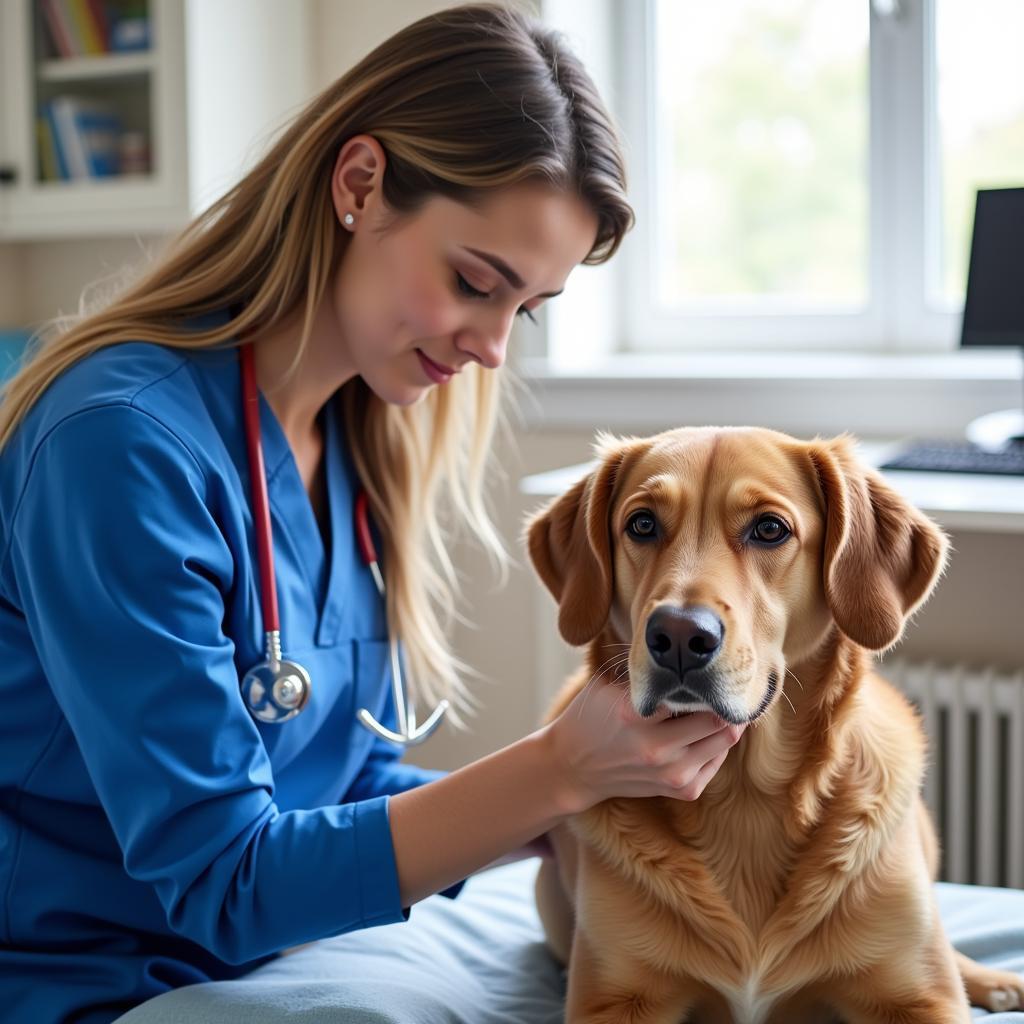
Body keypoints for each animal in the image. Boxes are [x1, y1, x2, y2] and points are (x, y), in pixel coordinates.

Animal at [528, 428, 1024, 1024]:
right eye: (642, 524)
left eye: (769, 529)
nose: (678, 636)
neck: (744, 796)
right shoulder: (614, 1000)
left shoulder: (920, 998)